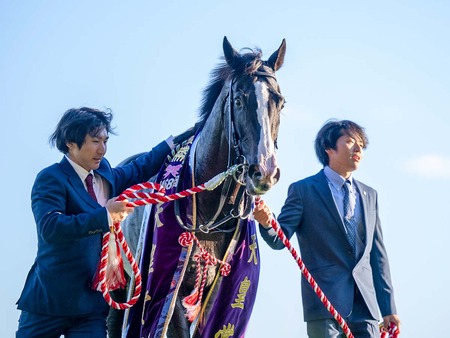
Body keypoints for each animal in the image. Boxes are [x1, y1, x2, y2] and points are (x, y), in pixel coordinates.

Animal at [121, 37, 286, 338]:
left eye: (280, 102)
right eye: (239, 99)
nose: (264, 171)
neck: (210, 213)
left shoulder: (219, 293)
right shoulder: (172, 289)